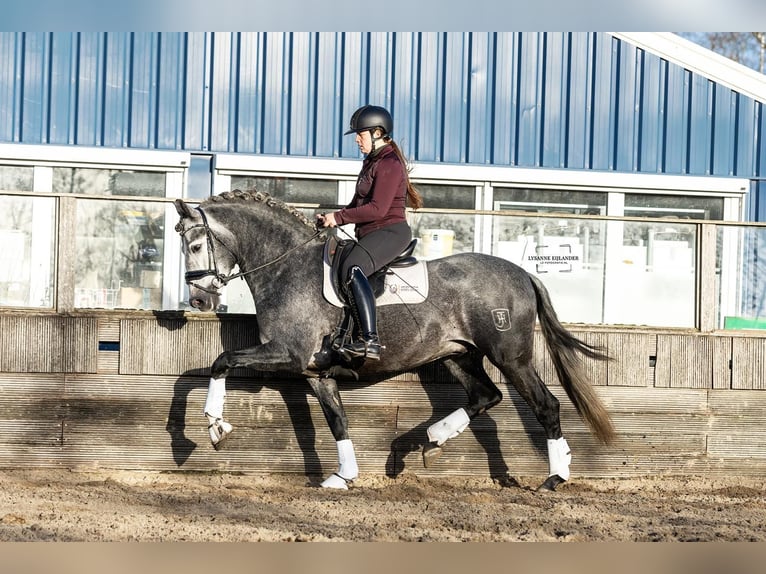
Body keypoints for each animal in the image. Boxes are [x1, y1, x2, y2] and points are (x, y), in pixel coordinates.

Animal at [176, 191, 616, 492]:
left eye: (195, 246)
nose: (199, 300)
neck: (287, 267)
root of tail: (523, 273)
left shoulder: (288, 354)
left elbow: (221, 361)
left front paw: (215, 425)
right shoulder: (316, 372)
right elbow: (337, 422)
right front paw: (343, 476)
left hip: (511, 356)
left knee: (545, 405)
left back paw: (555, 477)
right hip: (459, 355)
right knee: (485, 395)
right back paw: (434, 438)